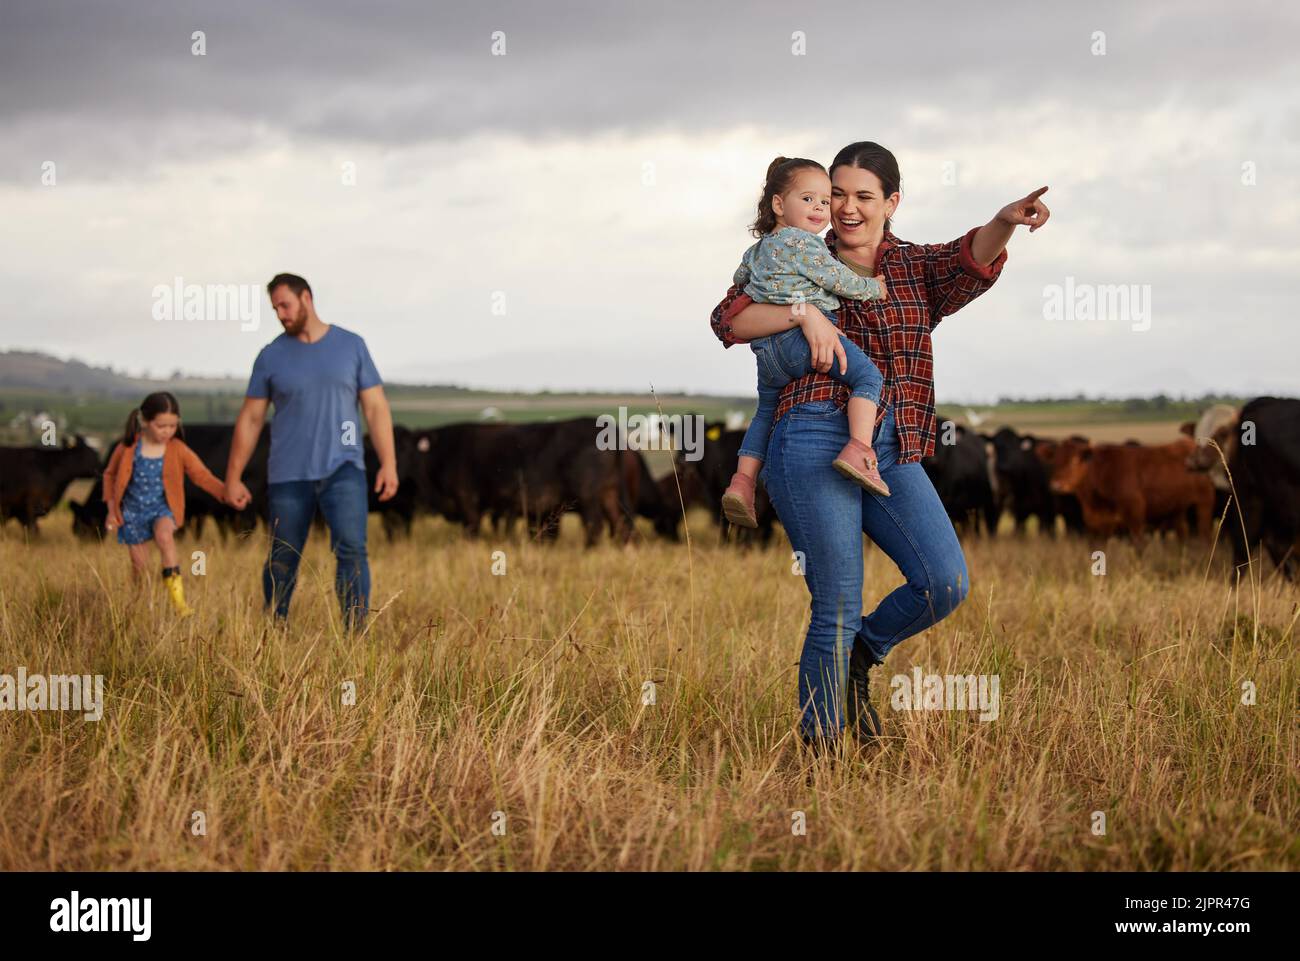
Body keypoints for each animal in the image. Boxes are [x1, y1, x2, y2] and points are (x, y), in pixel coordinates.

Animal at [1045, 436, 1216, 540]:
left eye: (1074, 461)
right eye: (1054, 461)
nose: (1056, 485)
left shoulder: (1135, 519)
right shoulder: (1097, 526)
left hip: (1203, 505)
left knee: (1205, 536)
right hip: (1178, 510)